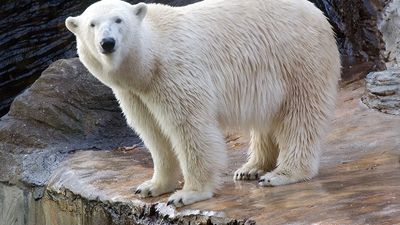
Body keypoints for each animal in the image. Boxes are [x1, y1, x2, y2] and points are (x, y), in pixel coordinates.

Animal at [65, 0, 340, 207]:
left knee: (301, 114)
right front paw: (151, 186)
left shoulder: (174, 73)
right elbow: (154, 133)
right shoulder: (135, 93)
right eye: (92, 24)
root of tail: (317, 13)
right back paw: (251, 168)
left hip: (298, 58)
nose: (107, 43)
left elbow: (189, 127)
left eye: (119, 20)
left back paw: (283, 174)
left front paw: (187, 194)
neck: (151, 58)